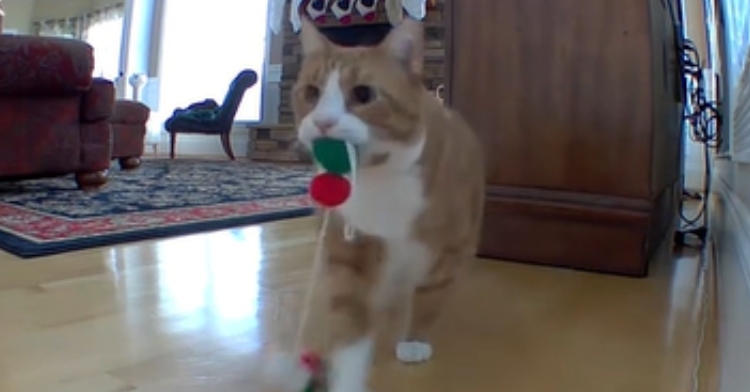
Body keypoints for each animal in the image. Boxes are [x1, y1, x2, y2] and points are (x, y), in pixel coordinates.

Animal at [294, 16, 488, 392]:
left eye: (363, 94)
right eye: (311, 93)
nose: (323, 121)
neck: (379, 181)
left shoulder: (450, 249)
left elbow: (430, 294)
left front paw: (414, 339)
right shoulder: (347, 248)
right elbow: (349, 318)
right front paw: (347, 375)